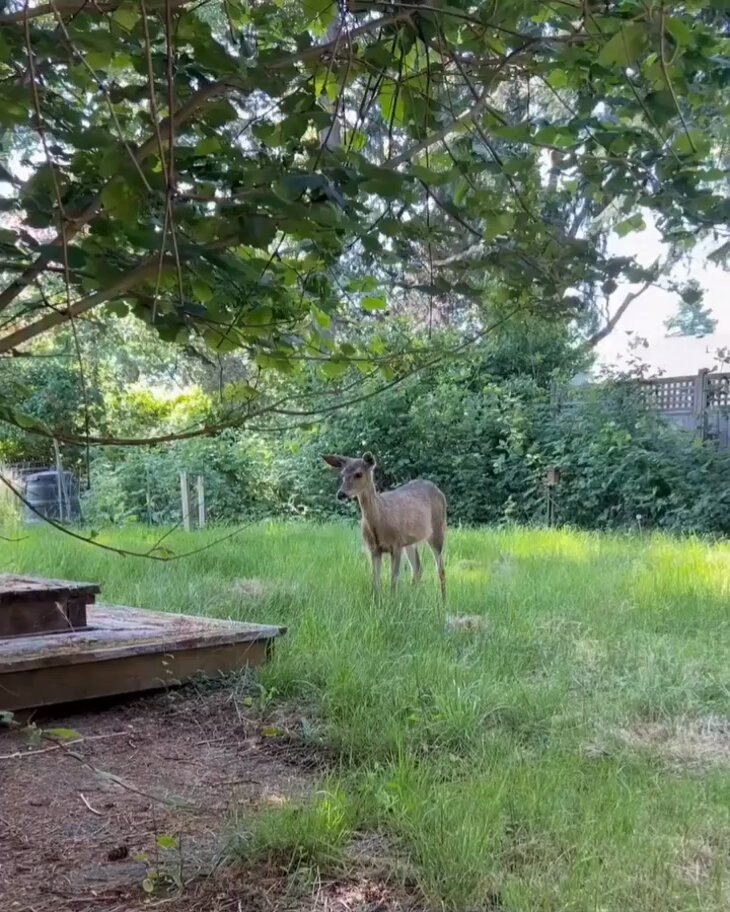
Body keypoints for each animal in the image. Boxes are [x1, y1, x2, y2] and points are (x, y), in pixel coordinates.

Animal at [322, 452, 447, 602]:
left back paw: (443, 601)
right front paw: (377, 602)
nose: (341, 494)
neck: (379, 521)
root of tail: (437, 489)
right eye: (342, 474)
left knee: (440, 568)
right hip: (410, 541)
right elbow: (375, 580)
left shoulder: (396, 545)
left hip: (438, 528)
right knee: (418, 568)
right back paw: (413, 597)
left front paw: (392, 602)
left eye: (358, 474)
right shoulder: (373, 548)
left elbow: (393, 580)